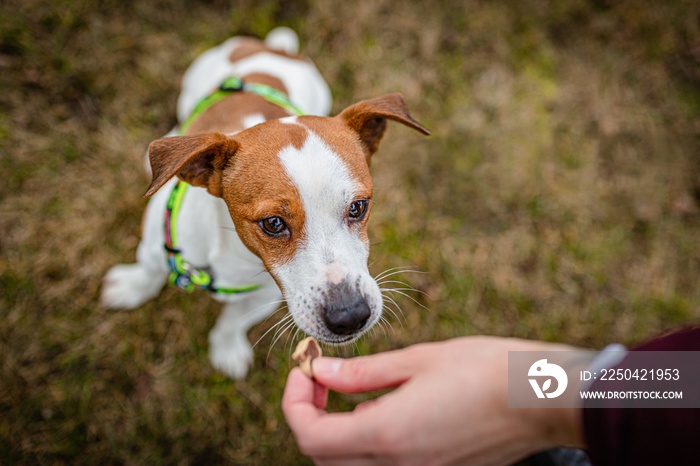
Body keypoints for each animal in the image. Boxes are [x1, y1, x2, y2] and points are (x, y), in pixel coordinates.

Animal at [100, 27, 430, 380]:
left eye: (358, 207)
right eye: (272, 224)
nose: (351, 316)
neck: (232, 251)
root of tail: (276, 49)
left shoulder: (265, 294)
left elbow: (232, 322)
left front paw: (226, 348)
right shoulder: (156, 249)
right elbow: (148, 272)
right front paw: (131, 288)